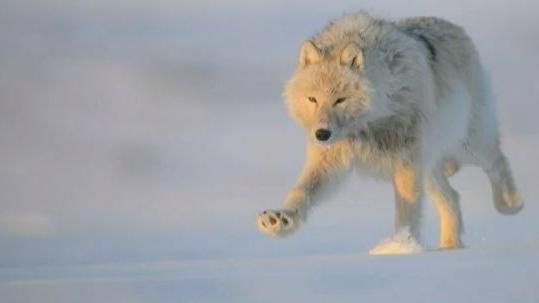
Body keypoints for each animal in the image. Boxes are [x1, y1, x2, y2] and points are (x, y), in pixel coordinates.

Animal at [258, 11, 524, 249]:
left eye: (340, 100)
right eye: (312, 99)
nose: (322, 134)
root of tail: (458, 29)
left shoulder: (406, 162)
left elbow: (407, 210)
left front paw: (400, 246)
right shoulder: (328, 160)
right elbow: (302, 190)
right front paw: (281, 219)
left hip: (466, 145)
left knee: (497, 161)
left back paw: (511, 203)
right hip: (430, 168)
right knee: (452, 198)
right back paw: (449, 247)